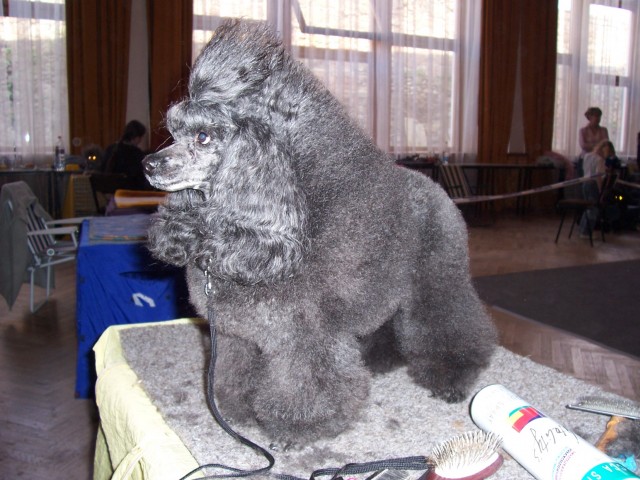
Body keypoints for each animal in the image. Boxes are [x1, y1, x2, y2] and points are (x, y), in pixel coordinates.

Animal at [143, 19, 496, 444]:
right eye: (175, 133)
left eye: (203, 137)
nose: (149, 164)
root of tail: (436, 187)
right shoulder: (235, 335)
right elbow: (233, 372)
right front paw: (237, 408)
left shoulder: (303, 334)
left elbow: (306, 384)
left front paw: (297, 427)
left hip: (437, 278)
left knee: (451, 323)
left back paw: (451, 375)